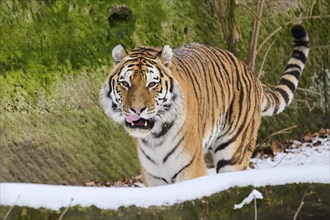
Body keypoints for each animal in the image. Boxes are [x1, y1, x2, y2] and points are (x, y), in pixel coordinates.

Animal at [100, 23, 310, 186]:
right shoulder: (153, 177)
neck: (155, 137)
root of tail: (250, 72)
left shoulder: (190, 169)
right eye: (125, 83)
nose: (136, 110)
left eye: (152, 84)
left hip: (233, 153)